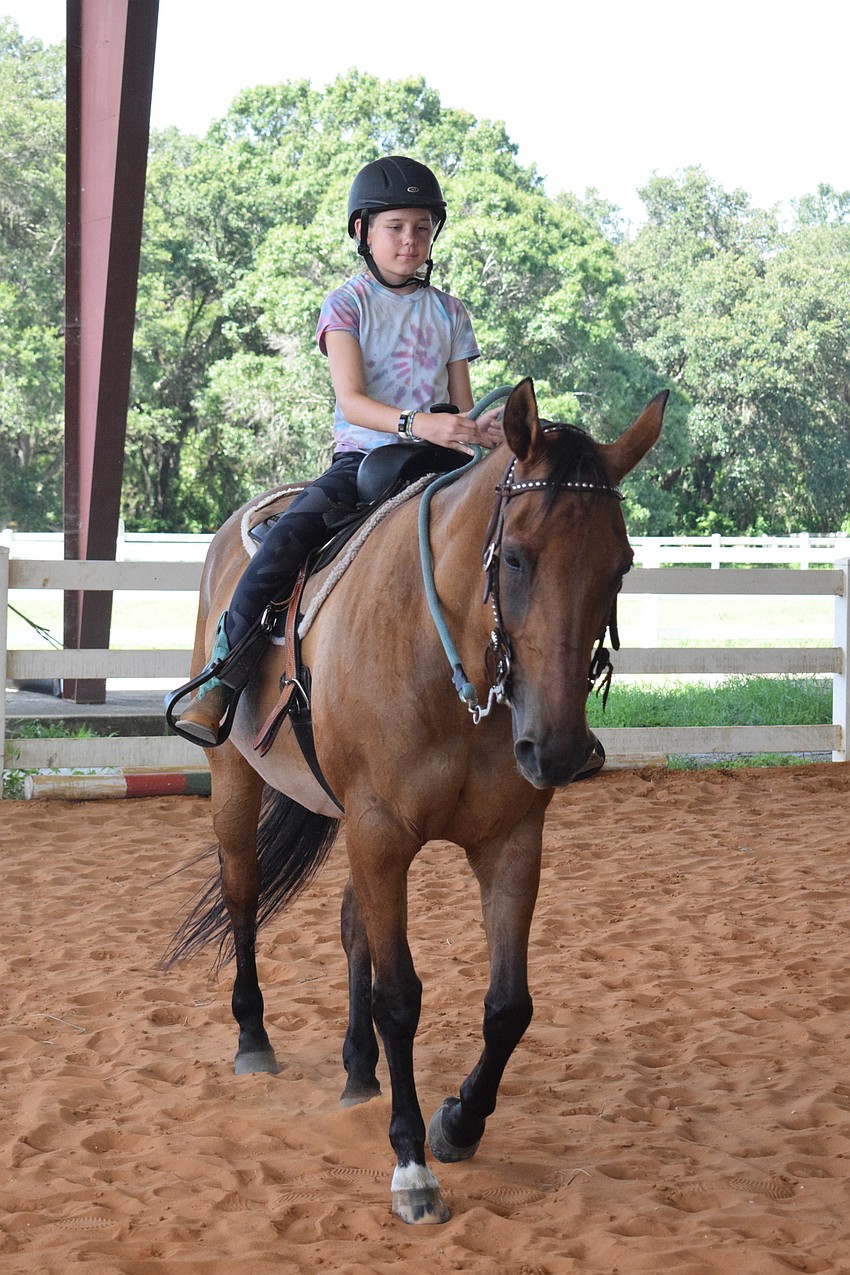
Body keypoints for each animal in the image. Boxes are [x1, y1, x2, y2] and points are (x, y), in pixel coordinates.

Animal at [167, 376, 666, 1224]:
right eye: (518, 557)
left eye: (622, 564)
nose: (559, 750)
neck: (448, 664)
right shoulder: (380, 831)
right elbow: (399, 997)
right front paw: (411, 1163)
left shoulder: (509, 840)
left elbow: (508, 1004)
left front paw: (459, 1121)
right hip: (238, 779)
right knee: (243, 896)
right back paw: (254, 1039)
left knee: (350, 927)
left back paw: (357, 1071)